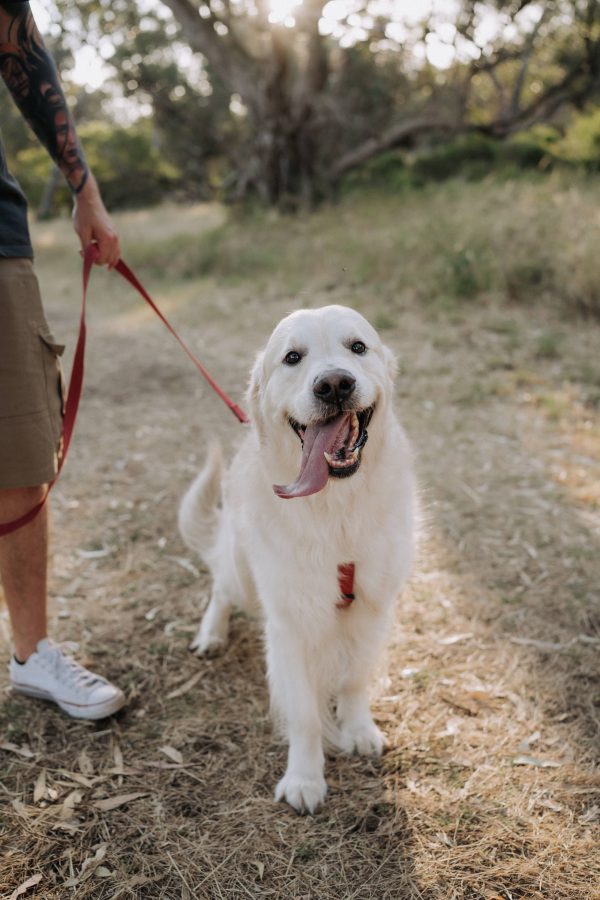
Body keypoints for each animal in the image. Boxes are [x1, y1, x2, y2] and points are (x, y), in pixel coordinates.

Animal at [178, 306, 414, 812]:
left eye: (357, 347)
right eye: (292, 357)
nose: (334, 385)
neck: (336, 508)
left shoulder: (373, 608)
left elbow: (354, 680)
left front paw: (358, 729)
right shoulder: (290, 624)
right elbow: (304, 715)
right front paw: (305, 779)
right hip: (244, 576)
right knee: (220, 585)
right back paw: (211, 634)